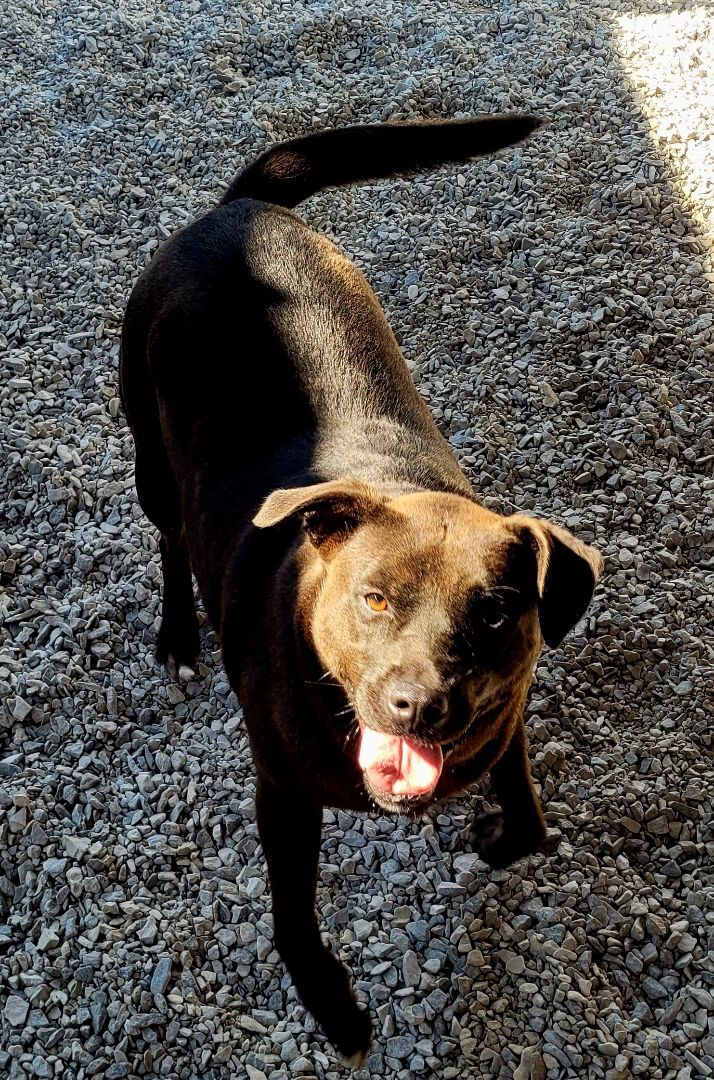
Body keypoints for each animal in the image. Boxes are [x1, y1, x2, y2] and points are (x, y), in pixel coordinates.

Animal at [120, 113, 600, 1058]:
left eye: (497, 614)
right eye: (373, 598)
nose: (418, 704)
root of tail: (239, 210)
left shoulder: (505, 721)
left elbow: (530, 824)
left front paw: (494, 835)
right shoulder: (281, 793)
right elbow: (293, 921)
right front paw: (333, 1007)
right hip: (151, 457)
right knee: (167, 534)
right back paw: (178, 636)